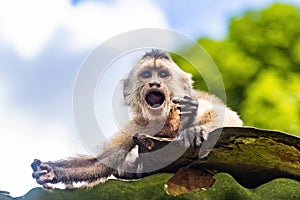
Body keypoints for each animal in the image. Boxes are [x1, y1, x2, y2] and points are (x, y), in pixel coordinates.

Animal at [31, 48, 243, 189]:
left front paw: (196, 128)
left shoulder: (183, 103)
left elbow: (226, 116)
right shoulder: (138, 125)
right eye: (147, 74)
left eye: (163, 75)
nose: (154, 83)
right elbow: (103, 162)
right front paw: (50, 171)